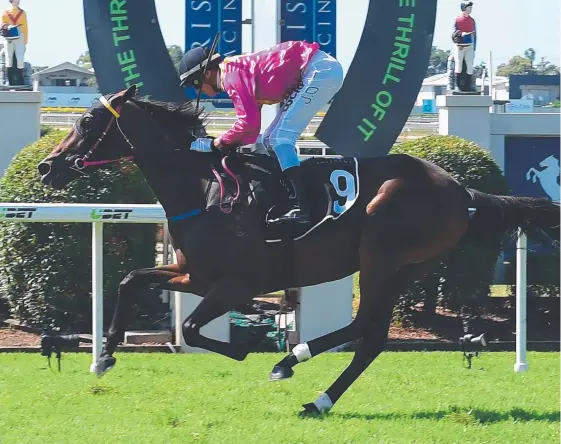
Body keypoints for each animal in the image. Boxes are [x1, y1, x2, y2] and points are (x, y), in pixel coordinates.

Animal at [38, 86, 556, 412]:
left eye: (88, 121)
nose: (46, 167)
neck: (204, 189)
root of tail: (461, 190)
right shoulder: (196, 276)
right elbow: (131, 280)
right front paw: (105, 356)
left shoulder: (236, 283)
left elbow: (190, 327)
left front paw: (244, 351)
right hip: (407, 266)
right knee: (370, 334)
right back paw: (311, 385)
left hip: (381, 254)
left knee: (367, 329)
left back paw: (295, 369)